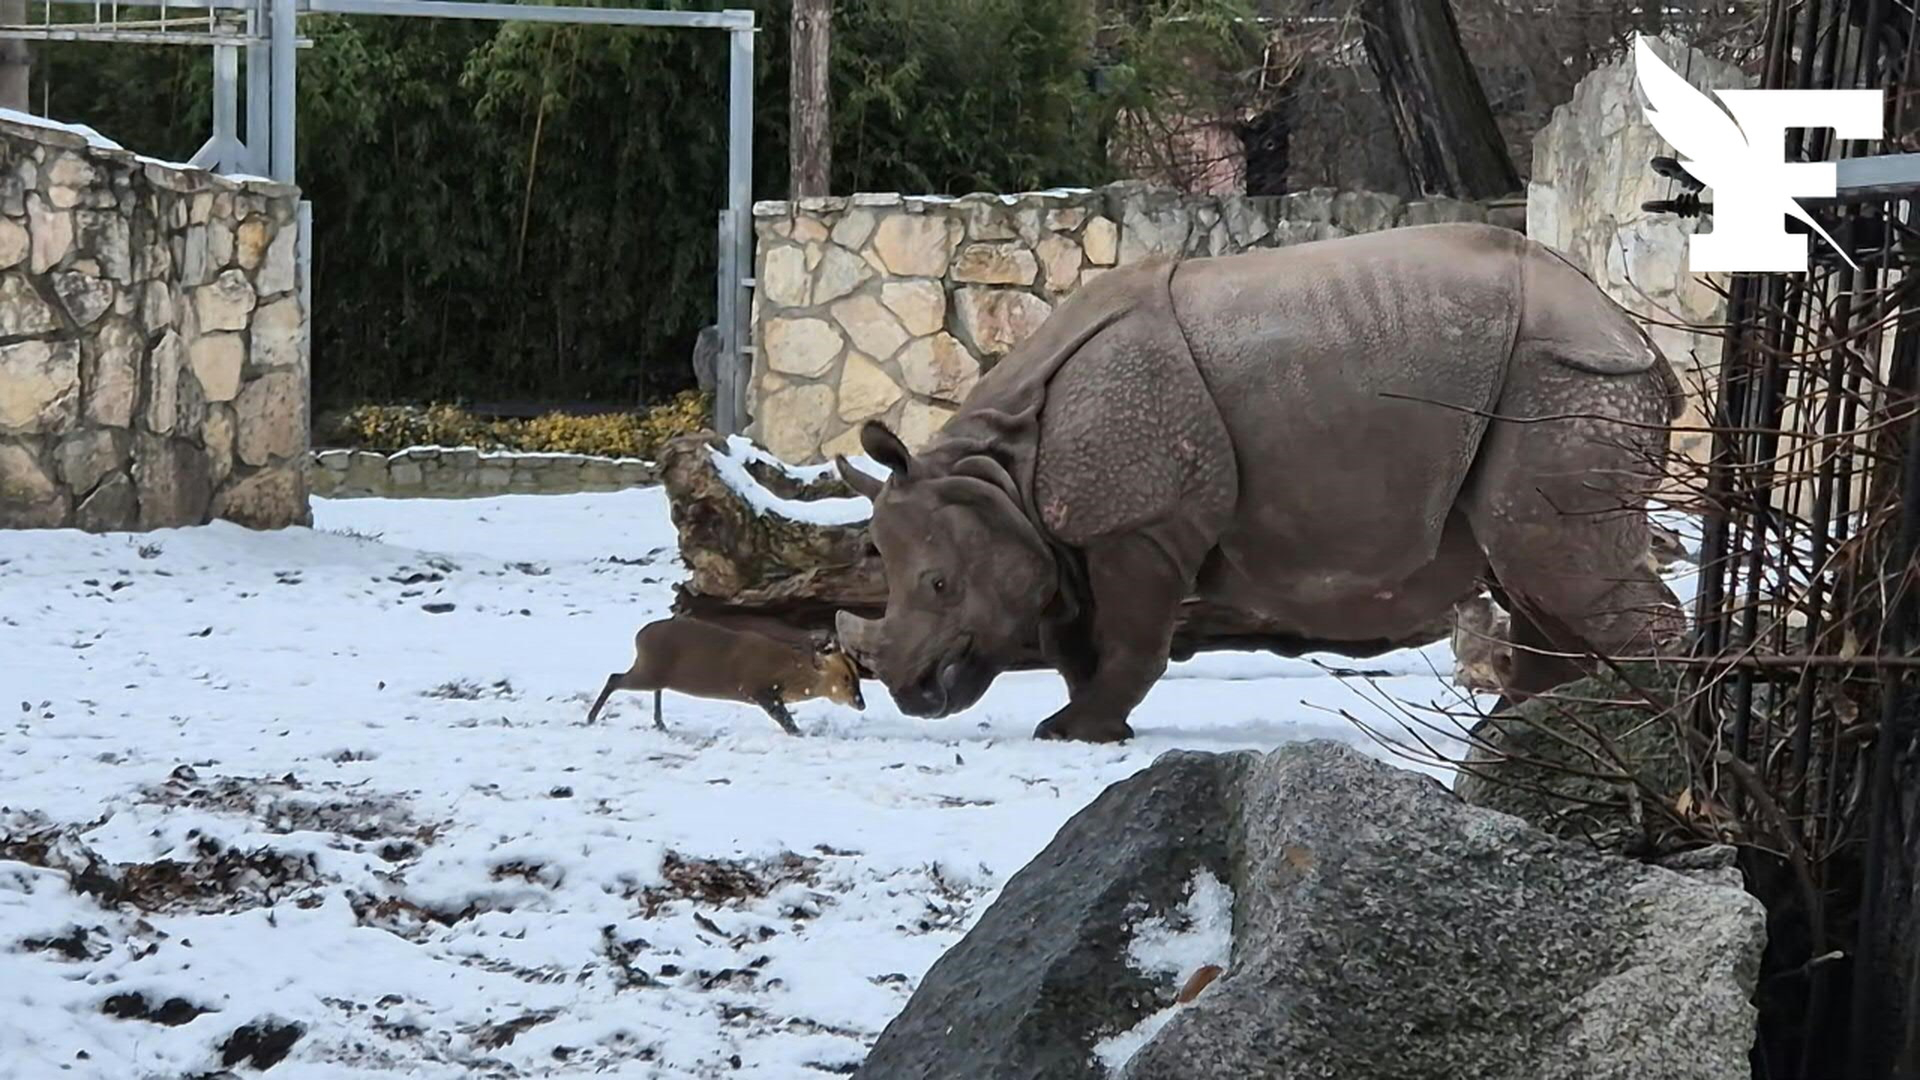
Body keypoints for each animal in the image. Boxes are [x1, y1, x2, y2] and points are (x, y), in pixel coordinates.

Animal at [586, 616, 866, 736]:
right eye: (845, 678)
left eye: (857, 676)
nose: (861, 703)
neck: (789, 674)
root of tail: (638, 636)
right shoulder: (755, 687)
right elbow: (784, 718)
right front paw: (799, 733)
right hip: (648, 669)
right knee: (614, 677)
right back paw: (589, 718)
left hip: (654, 670)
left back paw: (660, 723)